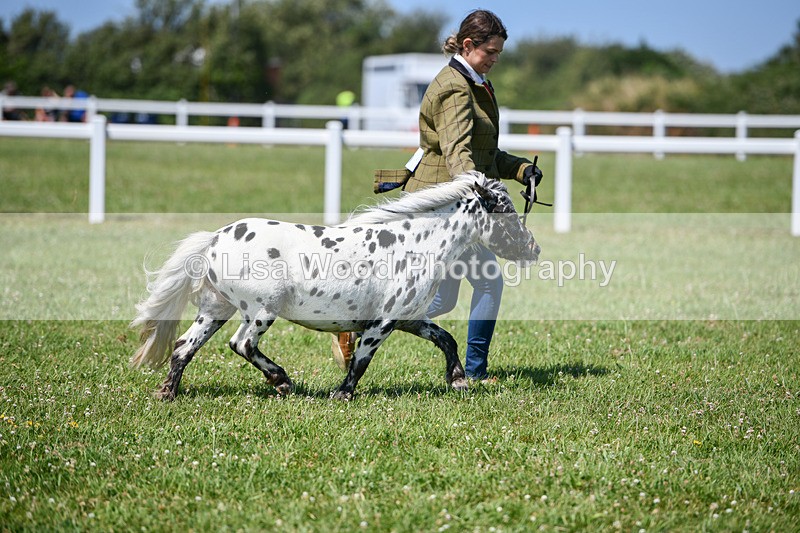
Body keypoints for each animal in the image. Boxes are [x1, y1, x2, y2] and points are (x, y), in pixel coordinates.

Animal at [130, 171, 541, 400]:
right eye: (506, 213)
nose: (533, 249)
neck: (415, 245)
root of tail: (215, 238)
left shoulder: (409, 318)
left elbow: (446, 339)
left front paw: (457, 382)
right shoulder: (382, 323)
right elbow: (361, 360)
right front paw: (341, 394)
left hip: (216, 309)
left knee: (184, 347)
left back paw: (167, 393)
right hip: (261, 311)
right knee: (242, 344)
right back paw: (282, 382)